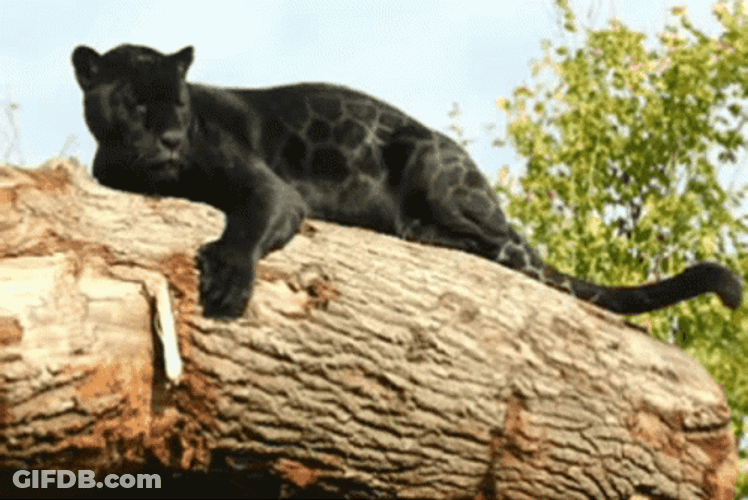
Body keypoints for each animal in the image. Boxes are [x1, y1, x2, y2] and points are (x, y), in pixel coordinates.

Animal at [72, 44, 742, 319]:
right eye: (136, 103)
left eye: (180, 104)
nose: (170, 139)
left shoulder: (272, 191)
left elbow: (245, 228)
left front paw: (229, 284)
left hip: (430, 164)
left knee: (507, 247)